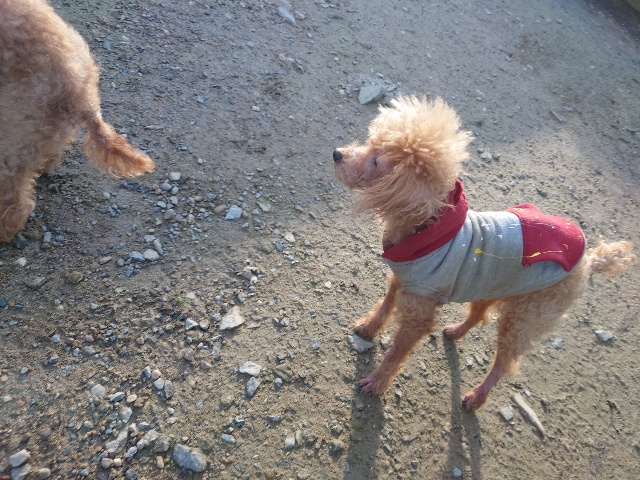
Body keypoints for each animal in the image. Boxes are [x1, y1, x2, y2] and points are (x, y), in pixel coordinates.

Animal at [333, 96, 635, 410]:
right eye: (370, 142)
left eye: (376, 162)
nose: (336, 154)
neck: (425, 228)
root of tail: (588, 261)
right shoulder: (402, 281)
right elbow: (385, 306)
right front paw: (368, 327)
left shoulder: (418, 314)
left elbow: (396, 353)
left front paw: (377, 381)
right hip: (490, 286)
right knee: (479, 316)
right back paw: (455, 332)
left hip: (524, 319)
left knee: (504, 364)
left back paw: (477, 397)